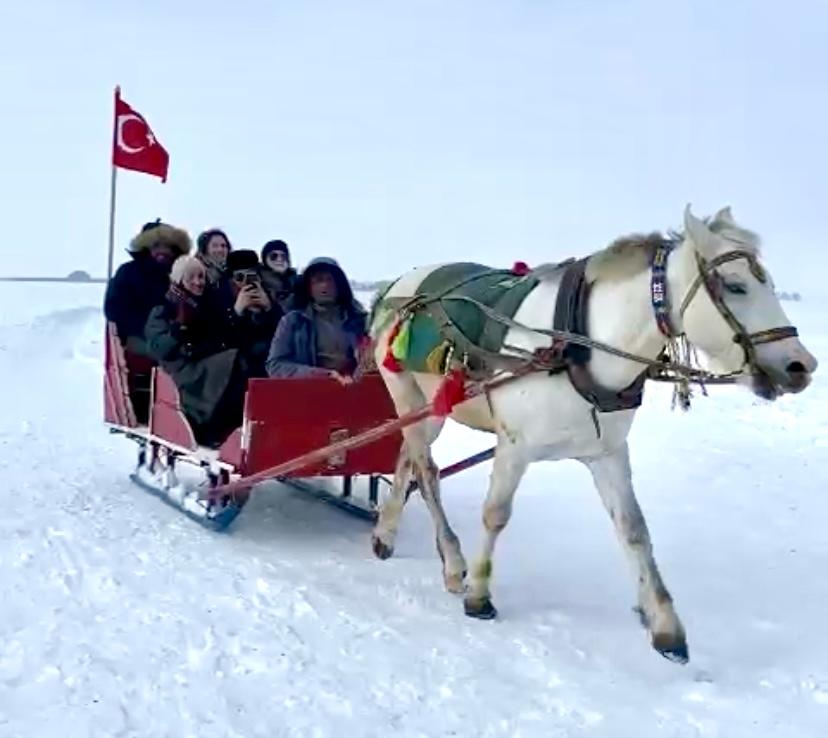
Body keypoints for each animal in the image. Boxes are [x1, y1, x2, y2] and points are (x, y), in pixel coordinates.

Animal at [368, 206, 816, 660]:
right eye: (736, 286)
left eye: (769, 284)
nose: (802, 365)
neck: (576, 345)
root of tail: (396, 286)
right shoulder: (514, 446)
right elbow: (495, 514)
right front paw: (479, 594)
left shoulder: (608, 452)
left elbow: (634, 529)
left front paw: (664, 623)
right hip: (407, 392)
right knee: (427, 472)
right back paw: (452, 560)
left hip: (429, 407)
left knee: (407, 458)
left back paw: (385, 532)